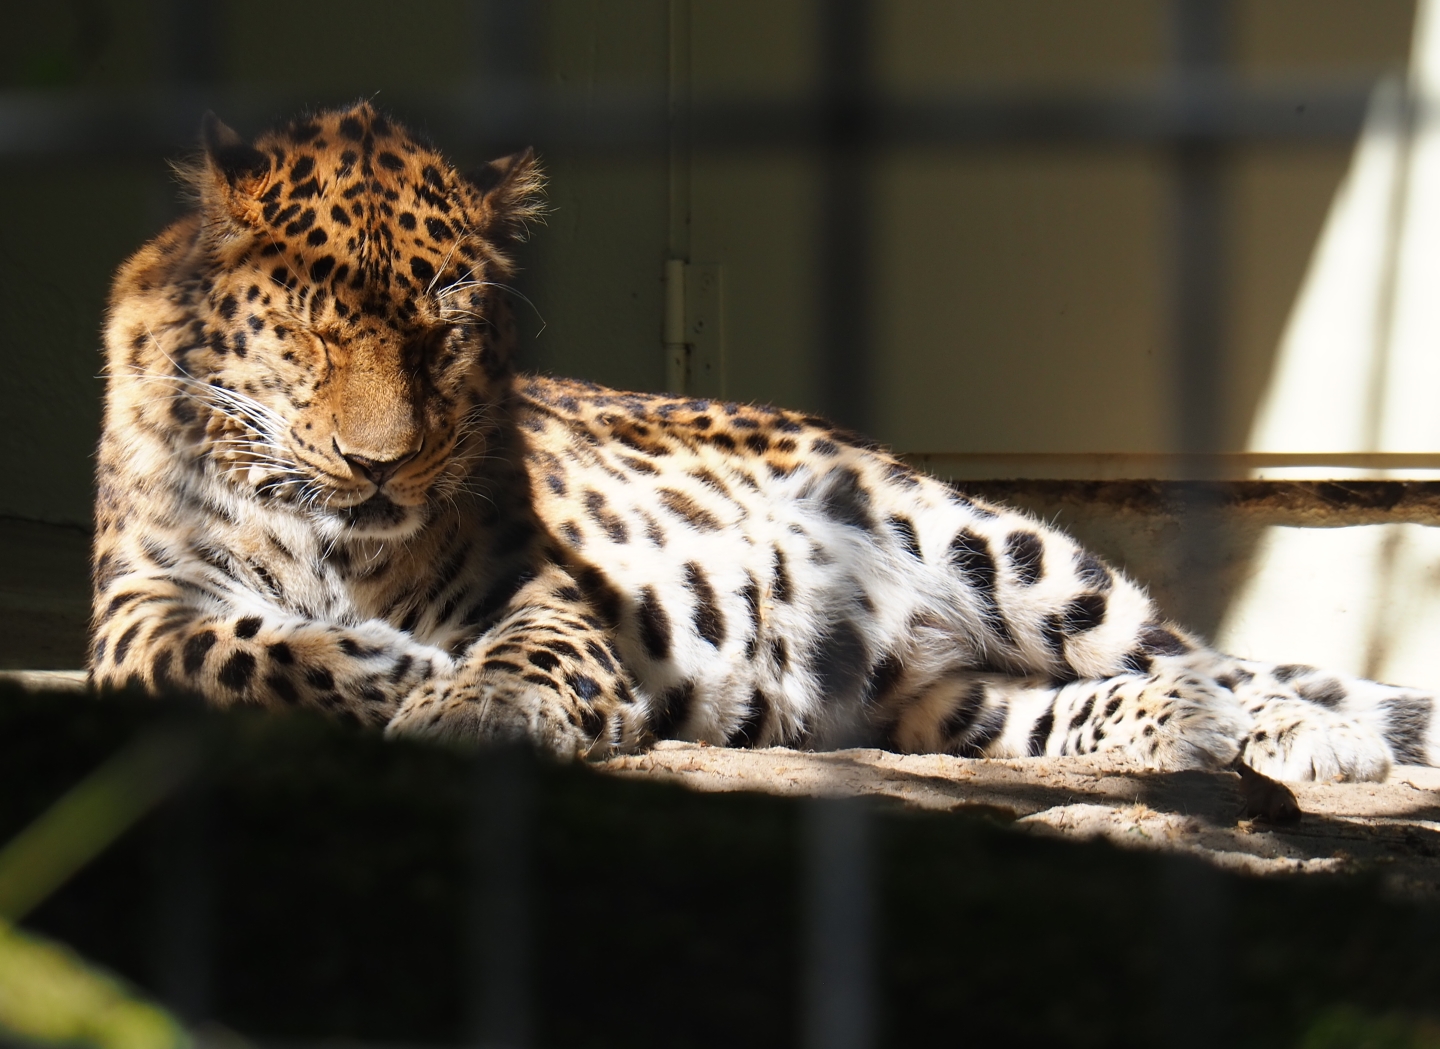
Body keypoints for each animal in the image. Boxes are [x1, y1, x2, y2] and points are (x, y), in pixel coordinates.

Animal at [89, 101, 1439, 784]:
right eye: (312, 329)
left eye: (447, 331)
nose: (383, 464)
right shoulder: (136, 609)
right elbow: (236, 649)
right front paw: (396, 669)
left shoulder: (540, 587)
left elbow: (524, 650)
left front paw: (476, 704)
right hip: (940, 701)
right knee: (1072, 703)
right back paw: (1179, 732)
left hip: (1000, 549)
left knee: (1210, 657)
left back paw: (1312, 737)